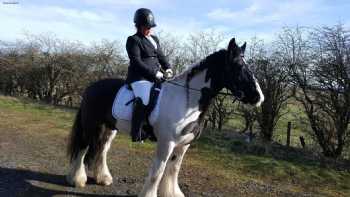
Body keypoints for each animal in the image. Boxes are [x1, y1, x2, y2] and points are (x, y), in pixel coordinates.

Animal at [65, 37, 264, 197]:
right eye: (238, 66)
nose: (259, 97)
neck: (186, 99)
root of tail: (91, 87)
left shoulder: (184, 144)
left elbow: (173, 169)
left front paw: (172, 193)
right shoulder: (166, 143)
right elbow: (158, 172)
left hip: (109, 128)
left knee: (102, 149)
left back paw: (103, 178)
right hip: (91, 126)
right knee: (83, 148)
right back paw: (77, 179)